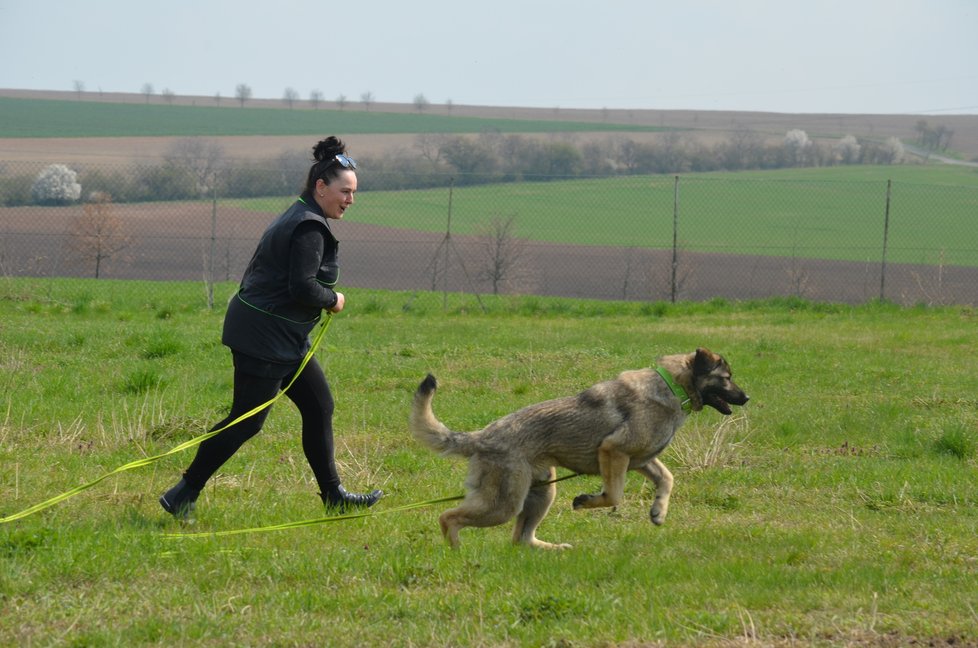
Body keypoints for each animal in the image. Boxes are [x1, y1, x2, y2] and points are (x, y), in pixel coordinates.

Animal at [410, 346, 748, 548]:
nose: (747, 398)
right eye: (726, 378)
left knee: (521, 538)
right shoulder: (614, 451)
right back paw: (456, 552)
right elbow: (614, 494)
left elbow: (667, 478)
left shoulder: (640, 461)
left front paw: (658, 511)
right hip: (504, 503)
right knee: (449, 517)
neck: (672, 386)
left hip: (541, 493)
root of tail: (481, 436)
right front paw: (587, 501)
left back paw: (552, 549)